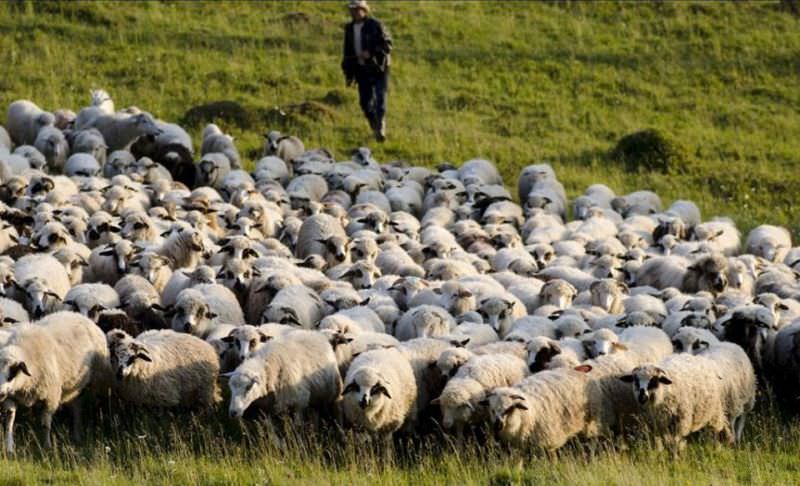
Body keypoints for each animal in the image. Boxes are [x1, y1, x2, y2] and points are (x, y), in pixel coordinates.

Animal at [0, 314, 110, 454]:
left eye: (12, 373)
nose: (0, 393)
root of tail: (80, 316)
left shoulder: (50, 398)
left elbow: (45, 425)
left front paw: (47, 447)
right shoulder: (10, 397)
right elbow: (9, 421)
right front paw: (9, 448)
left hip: (96, 381)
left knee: (80, 408)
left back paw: (77, 434)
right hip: (75, 387)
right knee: (77, 406)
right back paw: (77, 435)